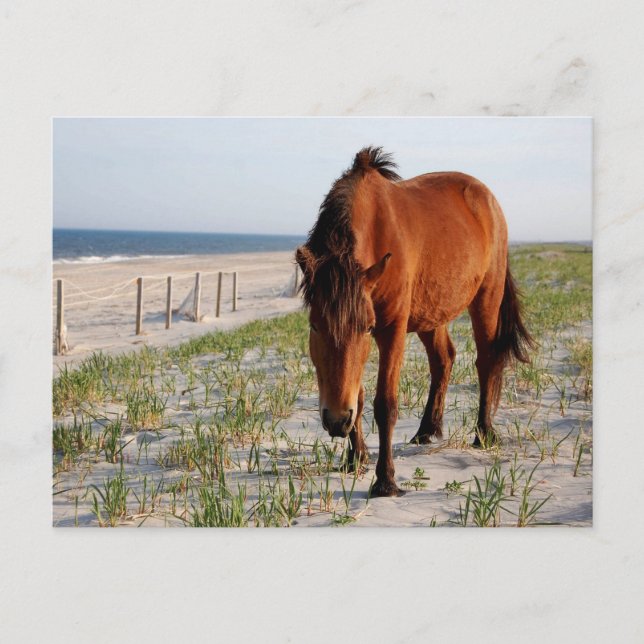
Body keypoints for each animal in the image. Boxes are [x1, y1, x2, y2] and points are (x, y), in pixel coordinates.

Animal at [296, 147, 533, 497]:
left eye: (367, 328)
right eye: (314, 326)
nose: (337, 421)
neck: (377, 228)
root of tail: (486, 196)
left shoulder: (392, 329)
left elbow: (385, 405)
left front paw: (385, 481)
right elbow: (360, 396)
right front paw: (356, 458)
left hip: (486, 299)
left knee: (487, 361)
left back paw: (483, 433)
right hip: (431, 316)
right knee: (444, 359)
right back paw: (426, 429)